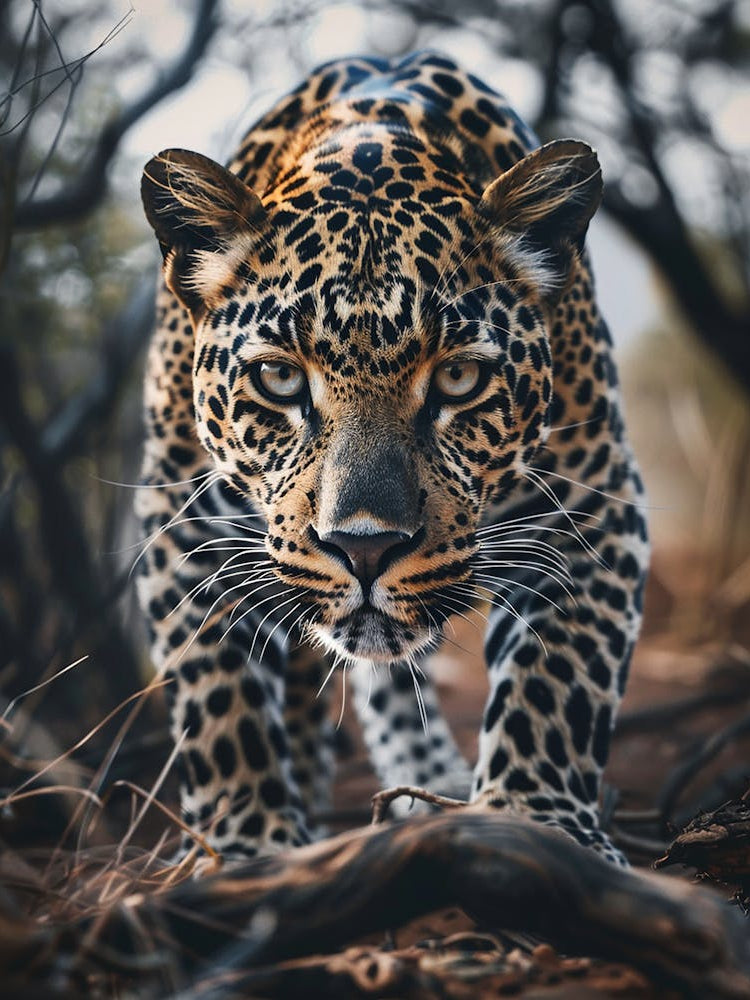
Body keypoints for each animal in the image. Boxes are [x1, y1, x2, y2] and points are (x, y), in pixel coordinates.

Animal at [136, 51, 648, 865]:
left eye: (459, 378)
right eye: (279, 378)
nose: (365, 548)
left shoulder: (593, 502)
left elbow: (557, 680)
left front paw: (535, 824)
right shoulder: (182, 522)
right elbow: (220, 699)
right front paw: (249, 845)